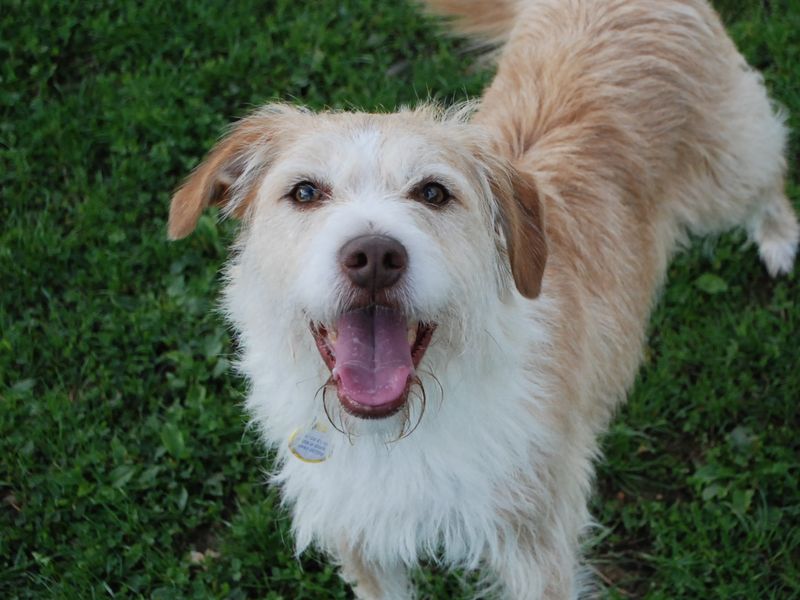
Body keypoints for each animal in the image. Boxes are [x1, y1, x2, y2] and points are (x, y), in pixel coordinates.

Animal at [166, 0, 796, 596]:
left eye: (433, 192)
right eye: (303, 192)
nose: (374, 256)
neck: (397, 430)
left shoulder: (536, 543)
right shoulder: (361, 539)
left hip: (728, 166)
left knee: (769, 167)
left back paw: (779, 236)